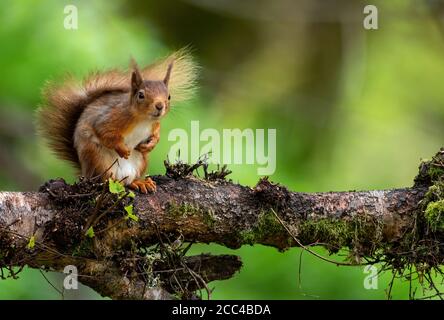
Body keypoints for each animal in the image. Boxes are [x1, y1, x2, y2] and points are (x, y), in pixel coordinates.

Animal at [37, 47, 197, 192]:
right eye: (141, 95)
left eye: (169, 96)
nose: (159, 106)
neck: (143, 120)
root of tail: (85, 173)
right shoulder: (111, 117)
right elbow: (105, 132)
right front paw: (122, 149)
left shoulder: (153, 124)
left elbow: (156, 132)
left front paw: (151, 144)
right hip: (97, 158)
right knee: (106, 180)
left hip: (141, 161)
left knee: (129, 181)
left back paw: (139, 182)